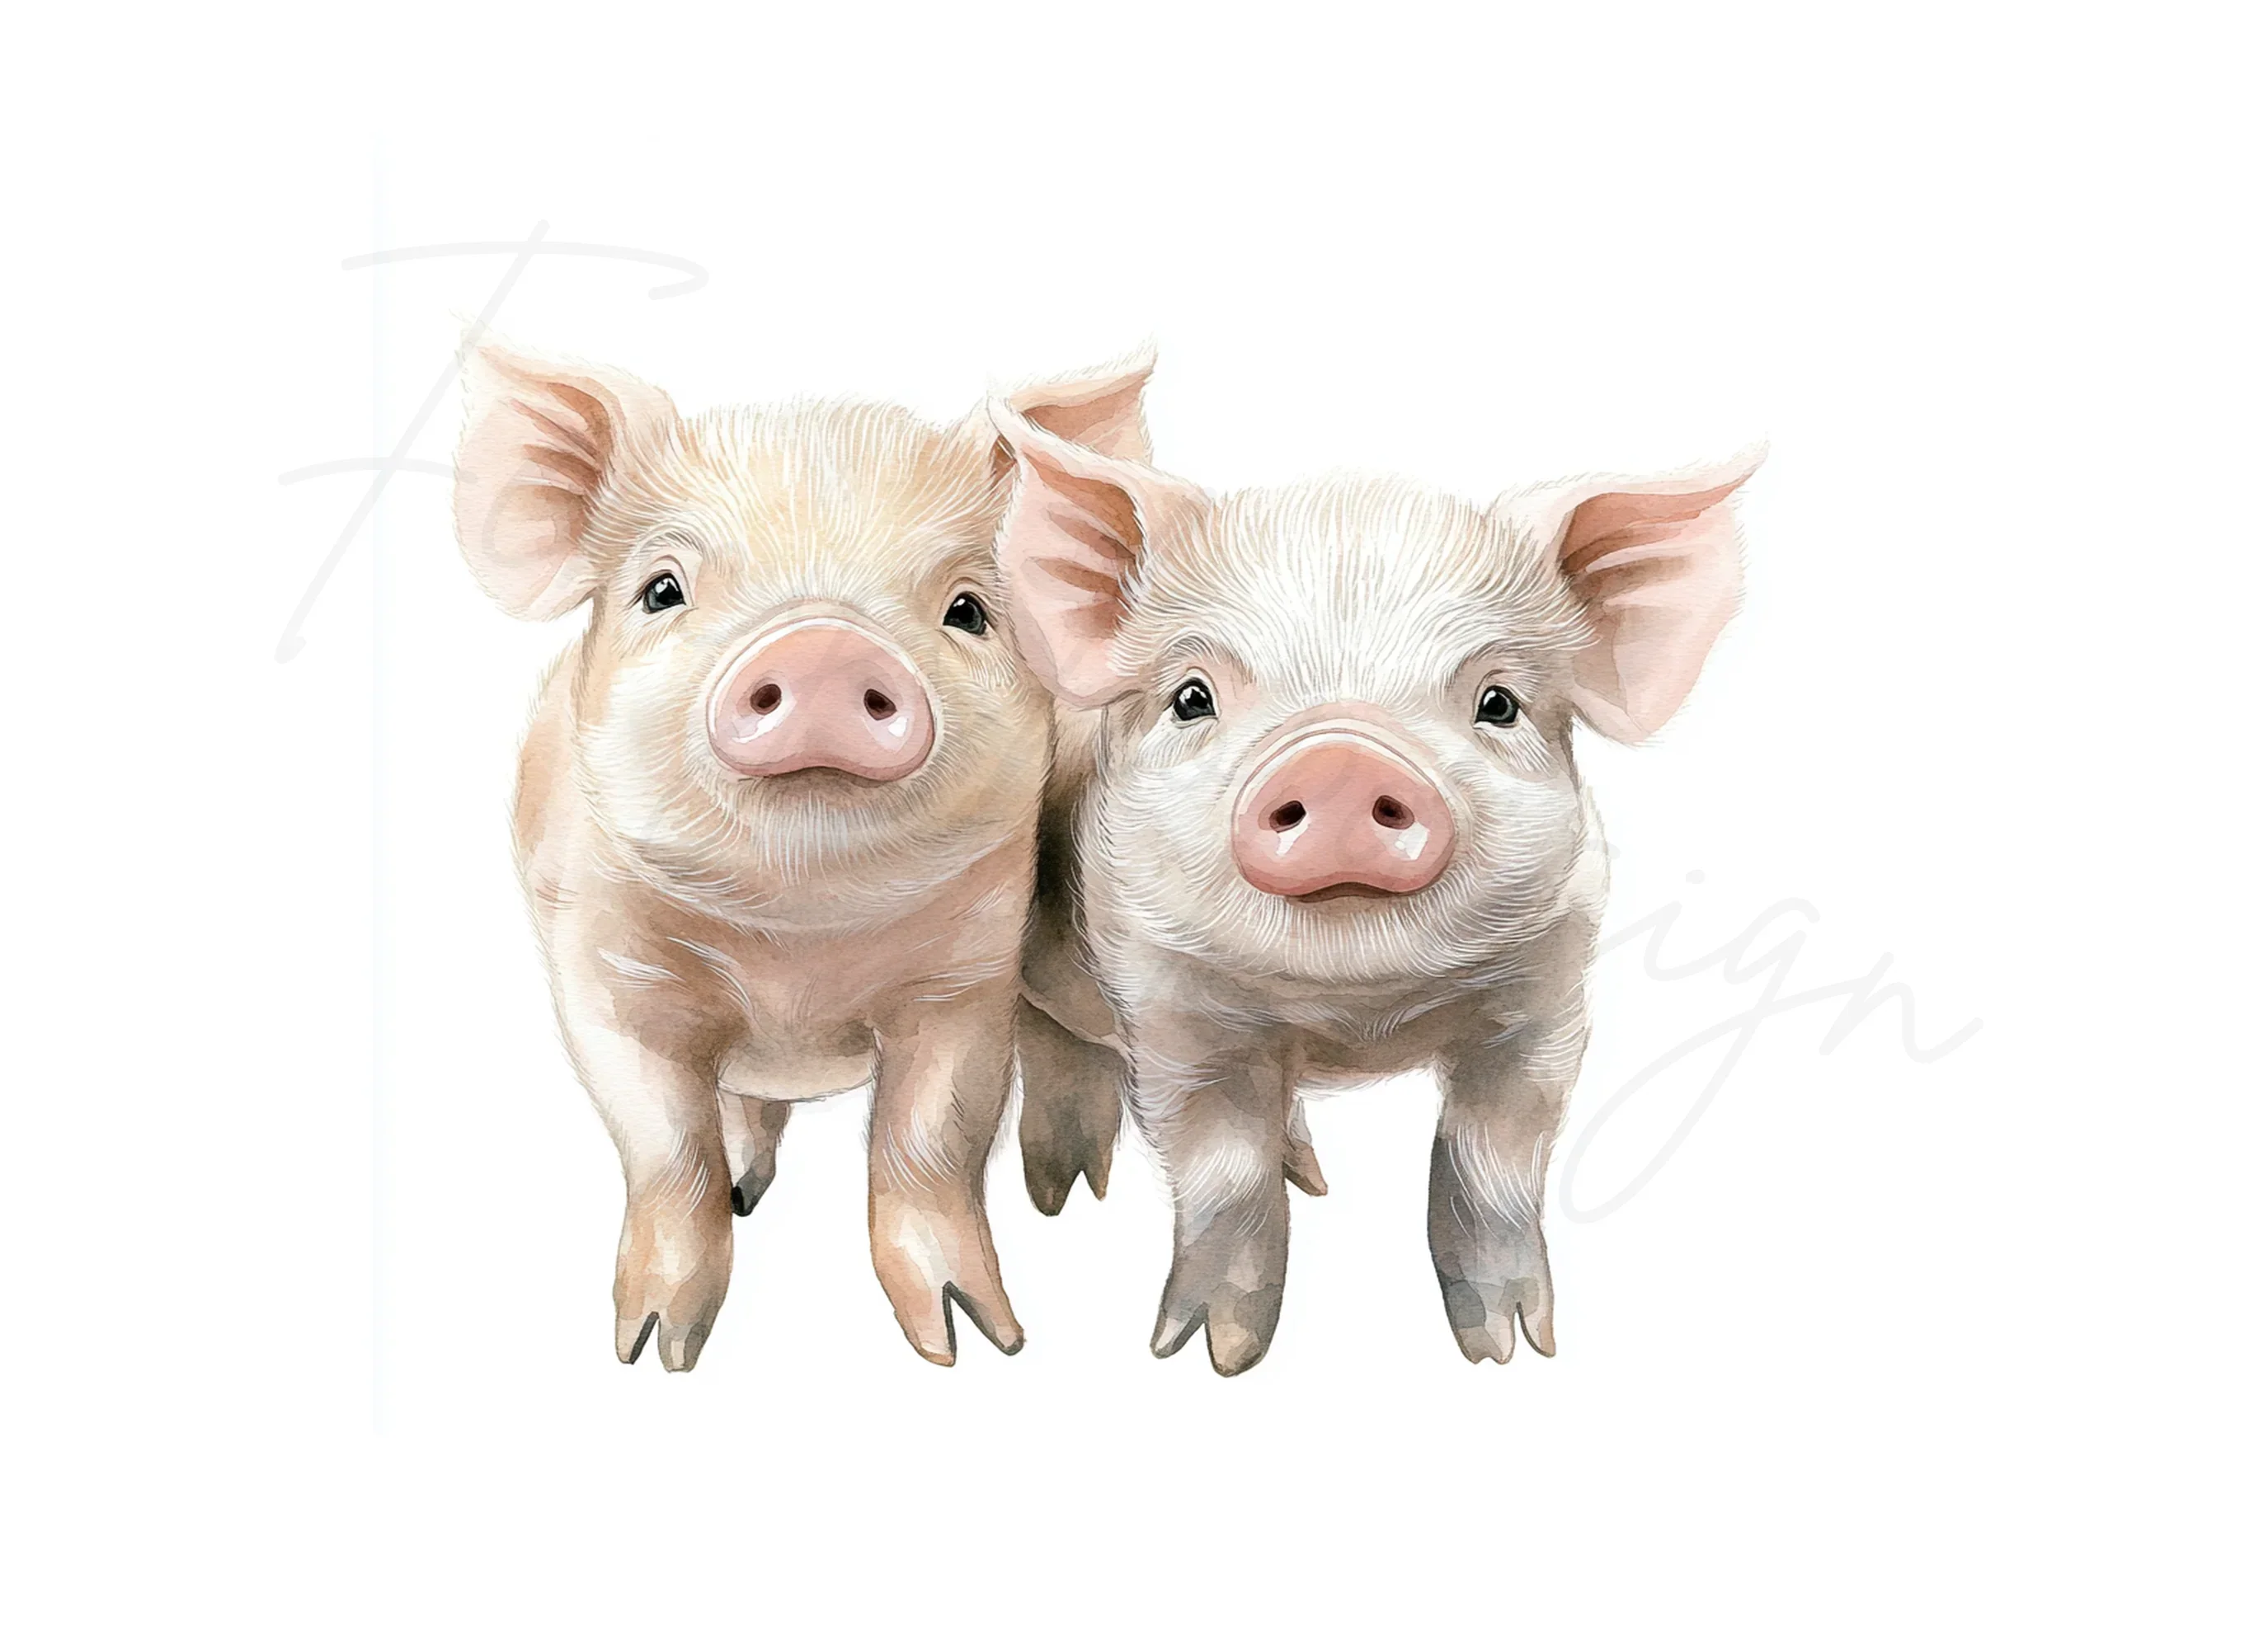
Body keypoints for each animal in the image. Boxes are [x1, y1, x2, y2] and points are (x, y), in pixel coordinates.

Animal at [451, 337, 1156, 1369]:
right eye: (661, 590)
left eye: (967, 609)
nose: (823, 648)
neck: (794, 948)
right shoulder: (602, 972)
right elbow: (665, 1147)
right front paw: (654, 1351)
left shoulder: (962, 981)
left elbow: (928, 1140)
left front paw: (977, 1343)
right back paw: (750, 1186)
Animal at [994, 397, 1762, 1373]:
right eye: (1192, 697)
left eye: (1499, 703)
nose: (1340, 762)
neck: (1353, 1020)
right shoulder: (1169, 1007)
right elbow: (1222, 1173)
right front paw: (1205, 1355)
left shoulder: (1548, 1000)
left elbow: (1493, 1161)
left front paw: (1512, 1349)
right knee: (1052, 1035)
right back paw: (1064, 1196)